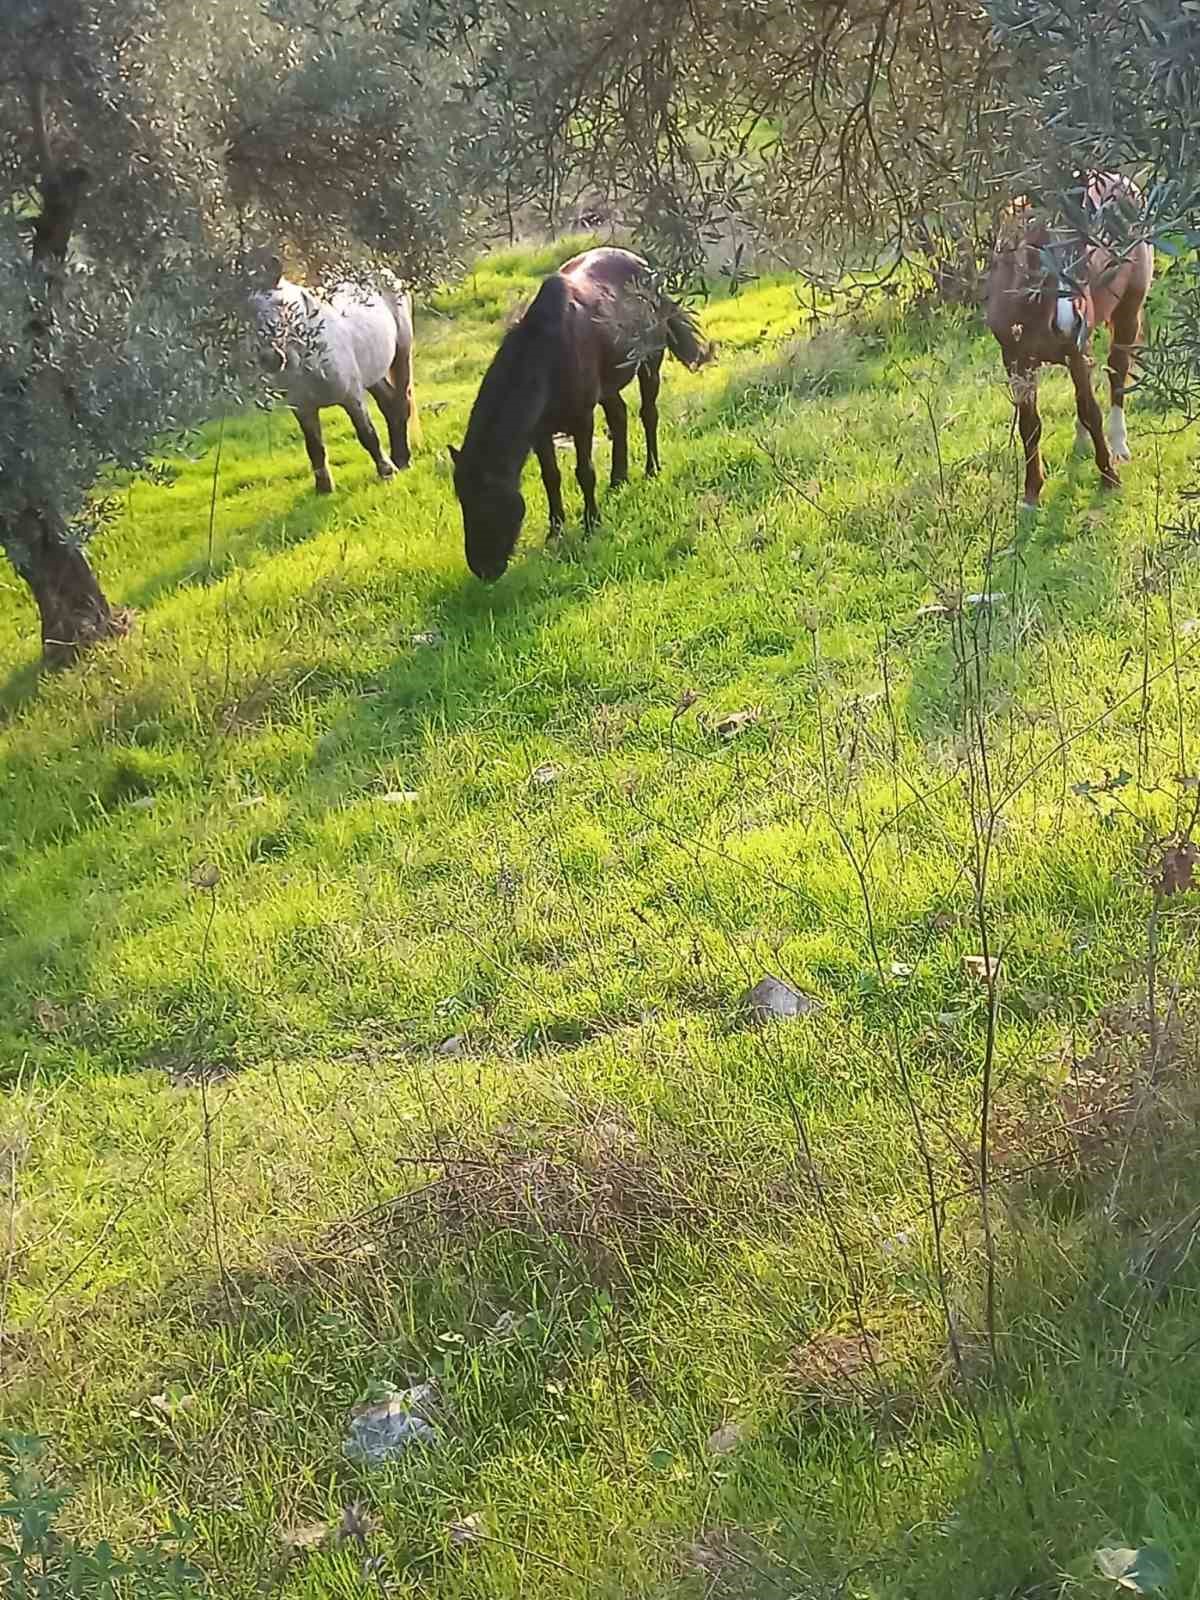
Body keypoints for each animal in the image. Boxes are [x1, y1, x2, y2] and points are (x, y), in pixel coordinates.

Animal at [252, 268, 422, 492]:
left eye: (282, 303)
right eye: (249, 311)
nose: (270, 358)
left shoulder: (352, 397)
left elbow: (367, 434)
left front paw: (387, 472)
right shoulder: (303, 408)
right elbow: (314, 446)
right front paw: (323, 487)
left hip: (401, 355)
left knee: (402, 404)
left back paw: (402, 461)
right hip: (372, 376)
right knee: (390, 406)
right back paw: (399, 459)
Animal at [451, 244, 713, 582]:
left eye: (488, 501)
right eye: (463, 501)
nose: (483, 569)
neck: (547, 354)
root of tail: (646, 266)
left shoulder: (582, 419)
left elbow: (584, 472)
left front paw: (591, 524)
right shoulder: (539, 432)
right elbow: (551, 477)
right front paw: (555, 530)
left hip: (649, 363)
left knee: (648, 414)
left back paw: (651, 469)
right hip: (610, 385)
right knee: (619, 417)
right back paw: (618, 479)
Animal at [985, 172, 1158, 505]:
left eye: (1083, 251)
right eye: (1038, 252)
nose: (1069, 322)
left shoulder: (1076, 353)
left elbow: (1092, 412)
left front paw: (1109, 478)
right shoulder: (1015, 360)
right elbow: (1030, 425)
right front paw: (1031, 492)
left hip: (1127, 315)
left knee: (1117, 374)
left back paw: (1119, 447)